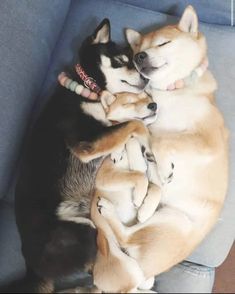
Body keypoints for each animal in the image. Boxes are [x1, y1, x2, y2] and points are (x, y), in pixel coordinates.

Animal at [93, 5, 229, 292]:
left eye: (163, 43)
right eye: (137, 50)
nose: (140, 56)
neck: (171, 92)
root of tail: (147, 270)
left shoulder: (207, 141)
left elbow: (162, 140)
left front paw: (159, 164)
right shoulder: (148, 125)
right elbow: (139, 132)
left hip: (174, 221)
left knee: (127, 235)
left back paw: (117, 207)